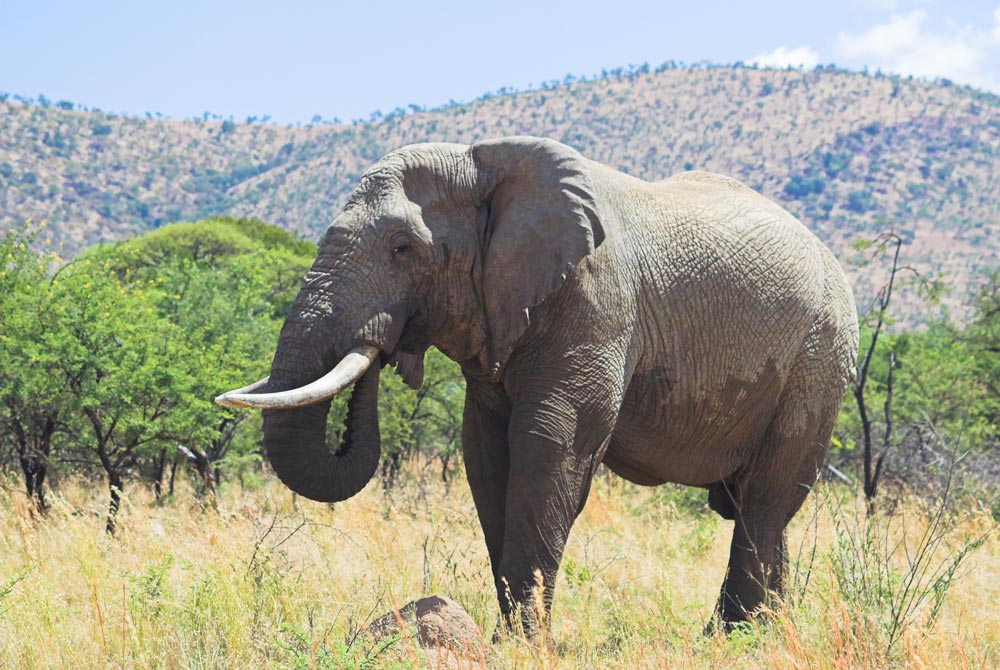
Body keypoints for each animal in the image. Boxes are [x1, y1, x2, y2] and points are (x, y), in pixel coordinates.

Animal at [219, 136, 860, 636]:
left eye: (403, 249)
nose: (389, 344)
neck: (482, 161)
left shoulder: (596, 302)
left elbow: (549, 445)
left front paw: (522, 644)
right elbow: (486, 454)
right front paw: (511, 637)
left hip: (819, 360)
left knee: (765, 501)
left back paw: (734, 638)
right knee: (760, 507)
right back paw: (759, 631)